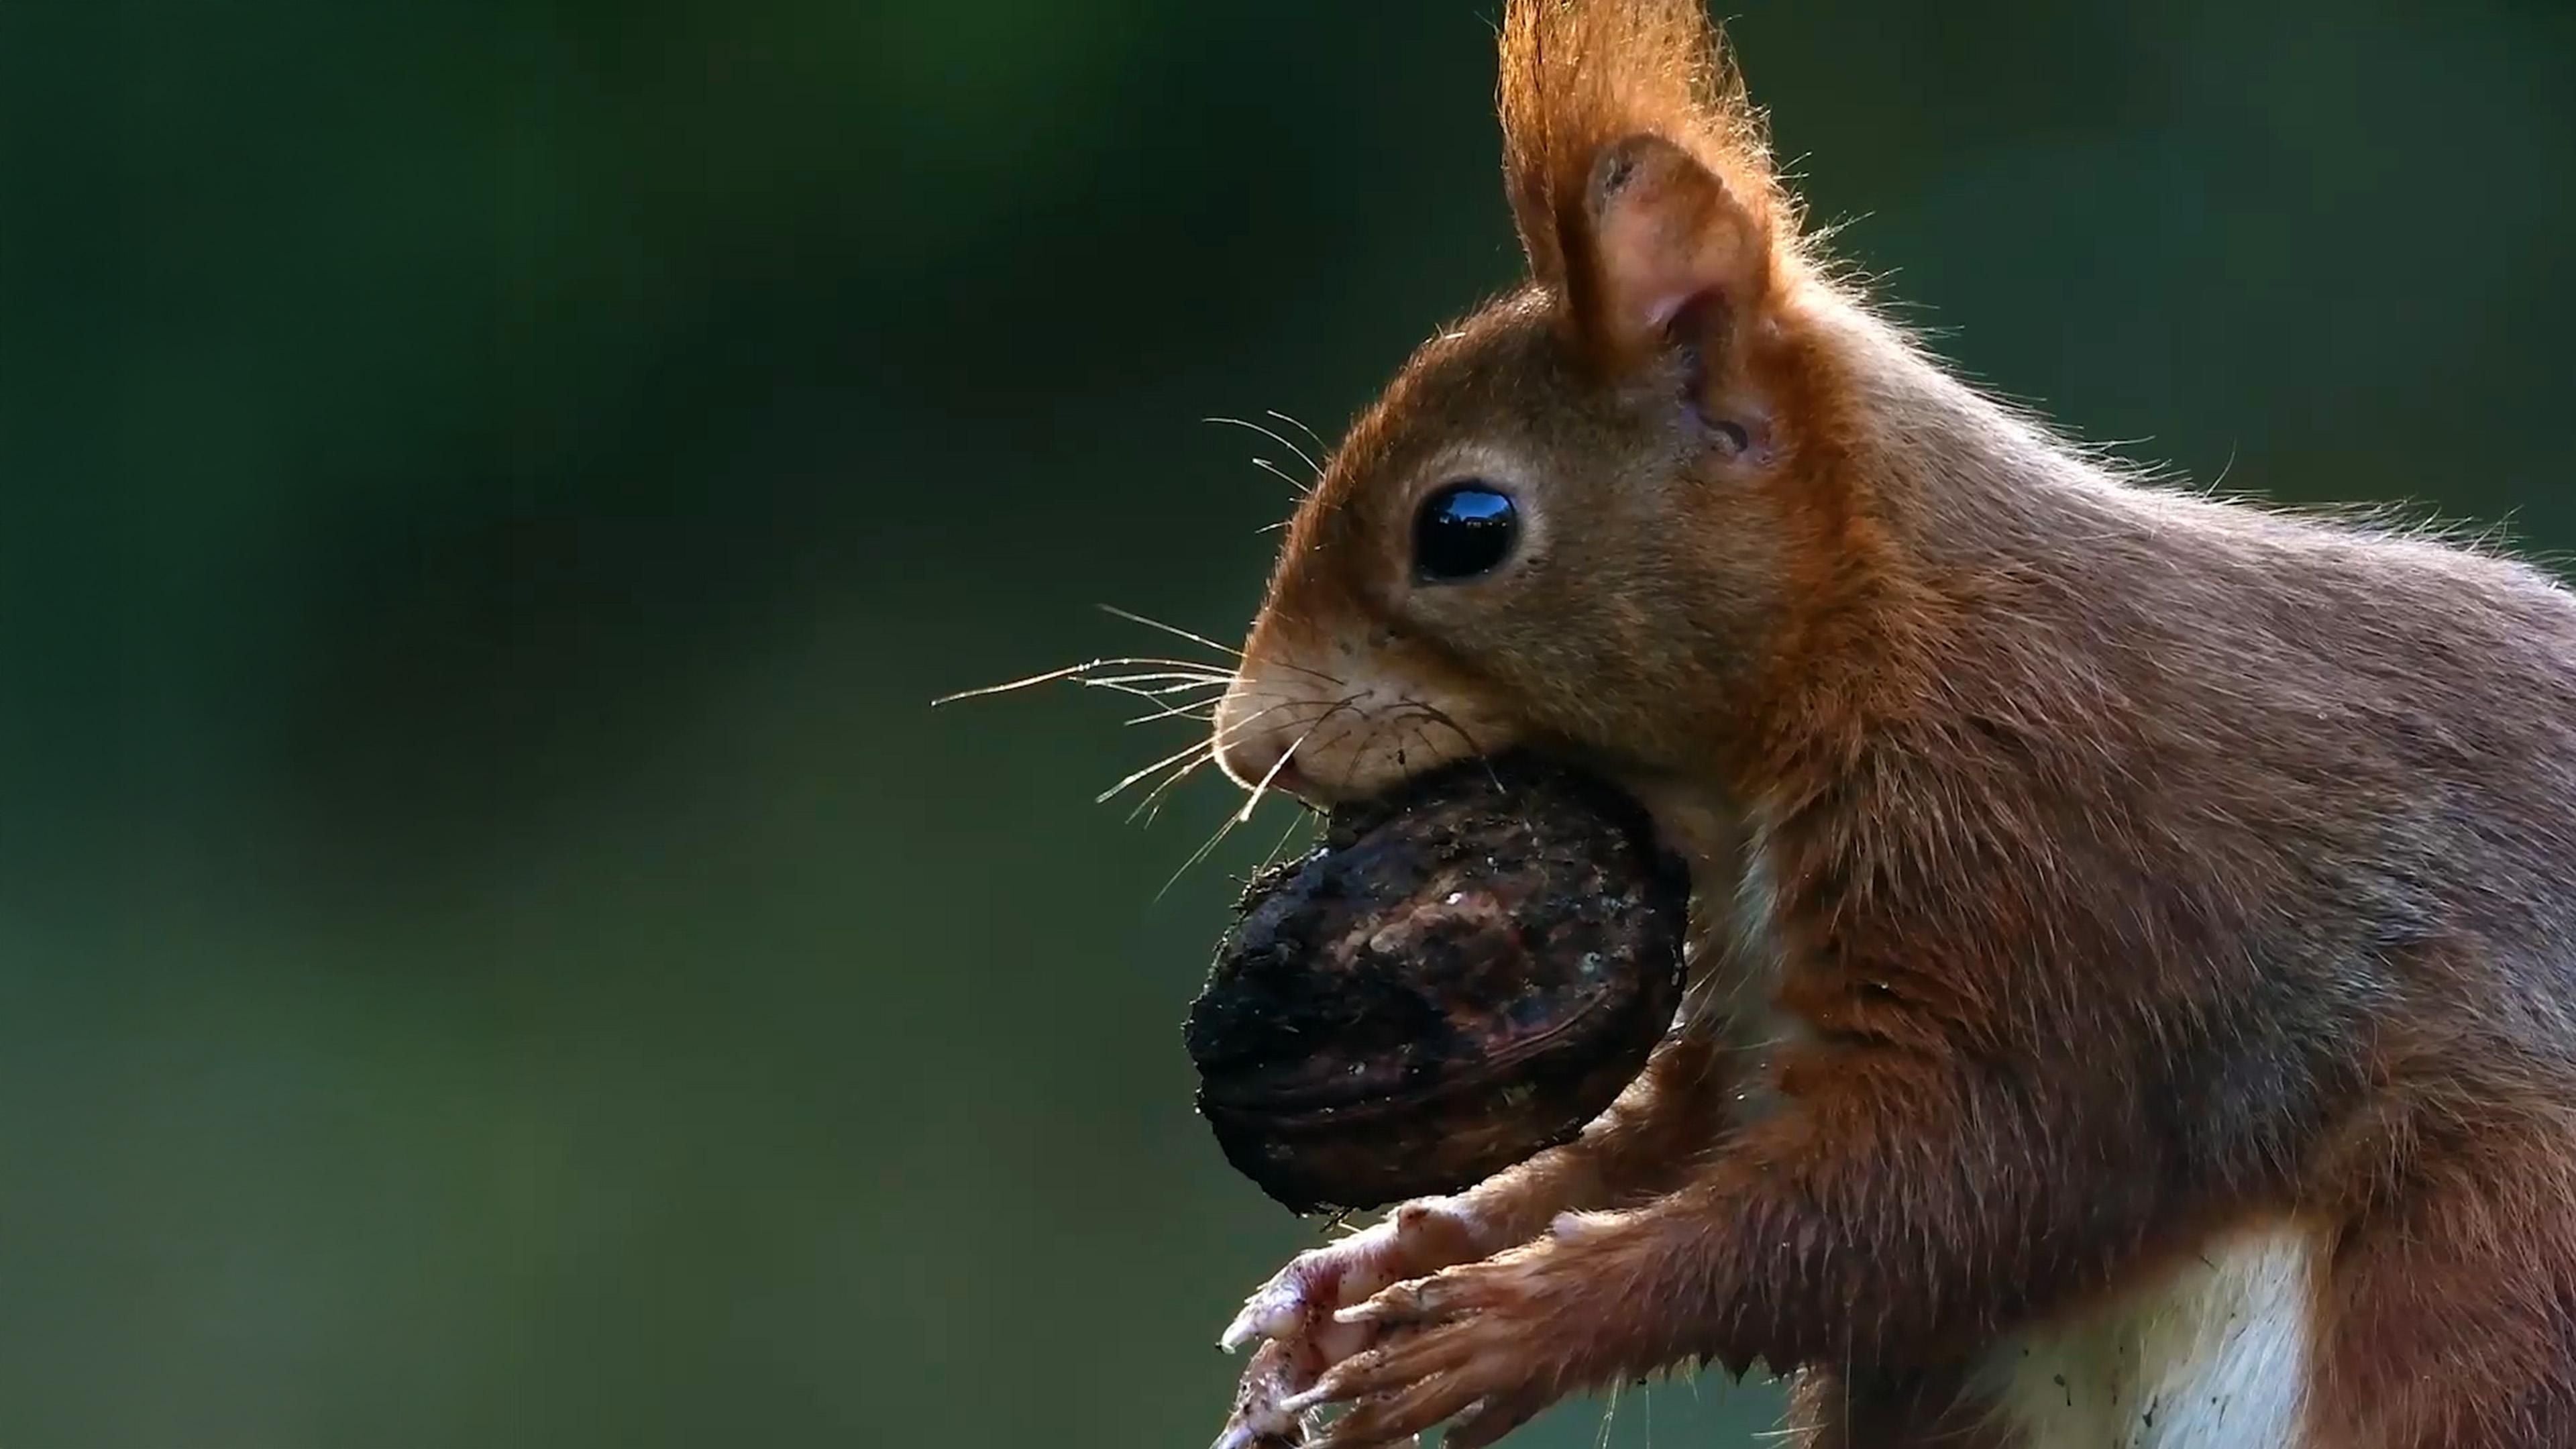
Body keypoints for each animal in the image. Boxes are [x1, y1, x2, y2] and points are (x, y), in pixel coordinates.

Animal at [1199, 2, 2576, 1447]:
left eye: (1466, 527)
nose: (1248, 745)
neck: (1861, 644)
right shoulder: (1754, 1006)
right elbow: (1671, 1139)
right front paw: (1365, 1271)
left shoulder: (2070, 863)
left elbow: (1966, 1183)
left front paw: (1512, 1325)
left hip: (2482, 1273)